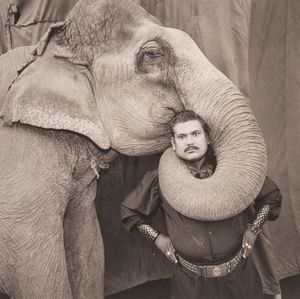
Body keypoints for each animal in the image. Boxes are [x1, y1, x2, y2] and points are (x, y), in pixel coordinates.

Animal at [0, 0, 268, 299]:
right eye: (152, 54)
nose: (185, 144)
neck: (46, 51)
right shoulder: (21, 179)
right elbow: (38, 274)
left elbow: (89, 247)